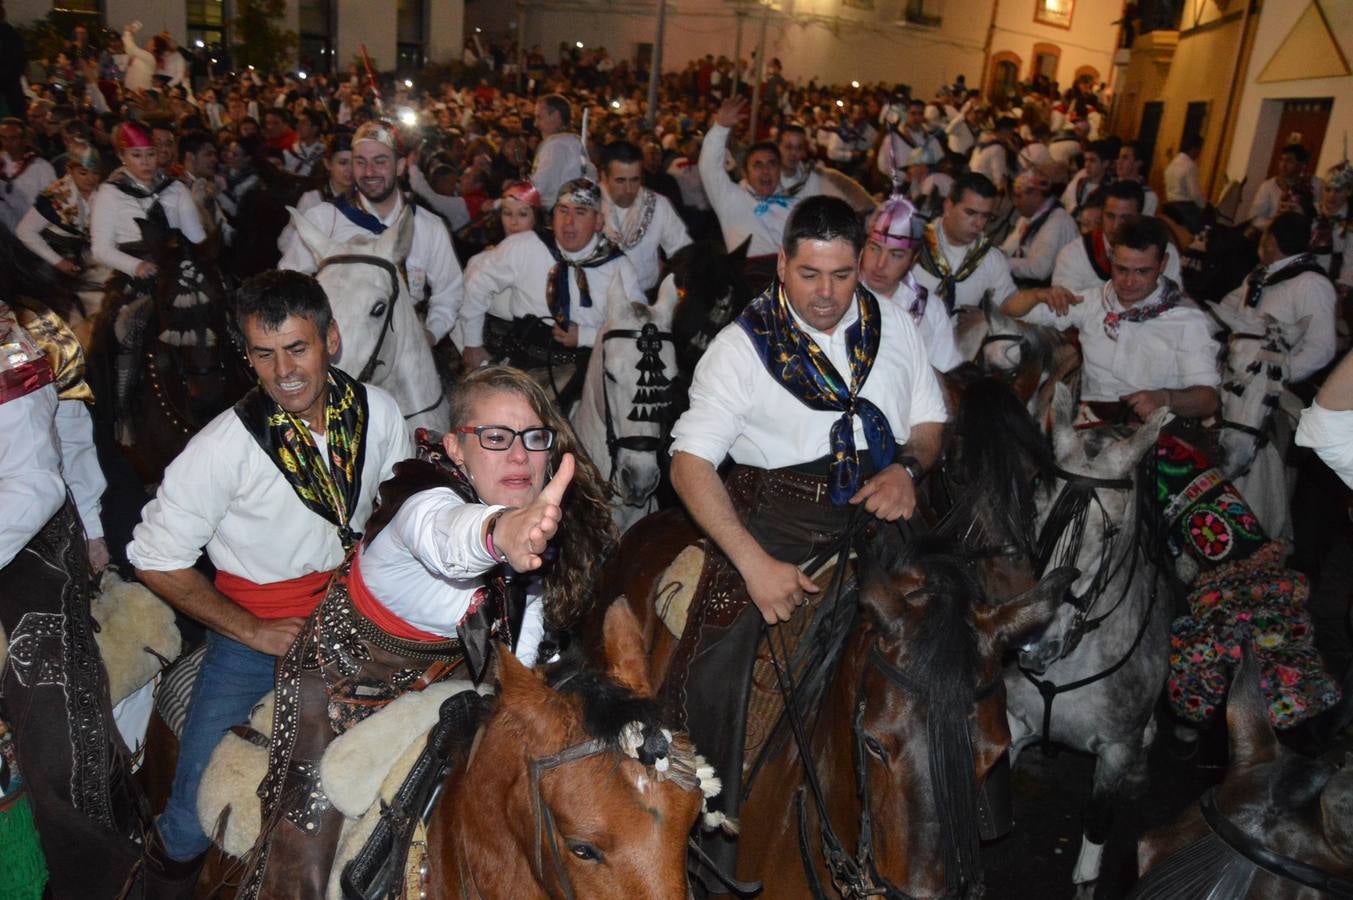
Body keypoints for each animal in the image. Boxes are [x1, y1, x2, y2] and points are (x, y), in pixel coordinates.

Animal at [1006, 381, 1174, 893]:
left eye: (1111, 531)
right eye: (1038, 508)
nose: (1034, 645)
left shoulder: (1115, 750)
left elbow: (1091, 852)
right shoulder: (1013, 720)